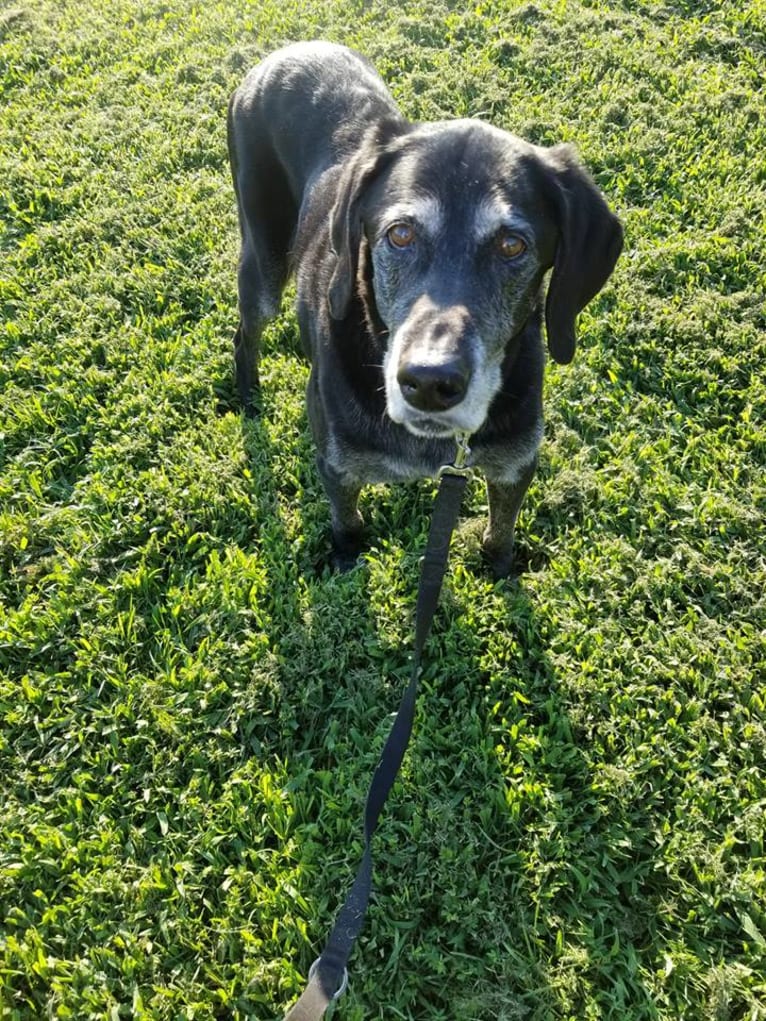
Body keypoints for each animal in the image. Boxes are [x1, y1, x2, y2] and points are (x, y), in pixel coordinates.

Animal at [227, 41, 625, 575]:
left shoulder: (515, 465)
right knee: (245, 331)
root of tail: (290, 49)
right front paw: (346, 560)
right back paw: (249, 394)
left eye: (512, 246)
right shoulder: (337, 466)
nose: (430, 384)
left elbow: (501, 531)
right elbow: (347, 523)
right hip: (264, 260)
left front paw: (501, 571)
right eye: (400, 234)